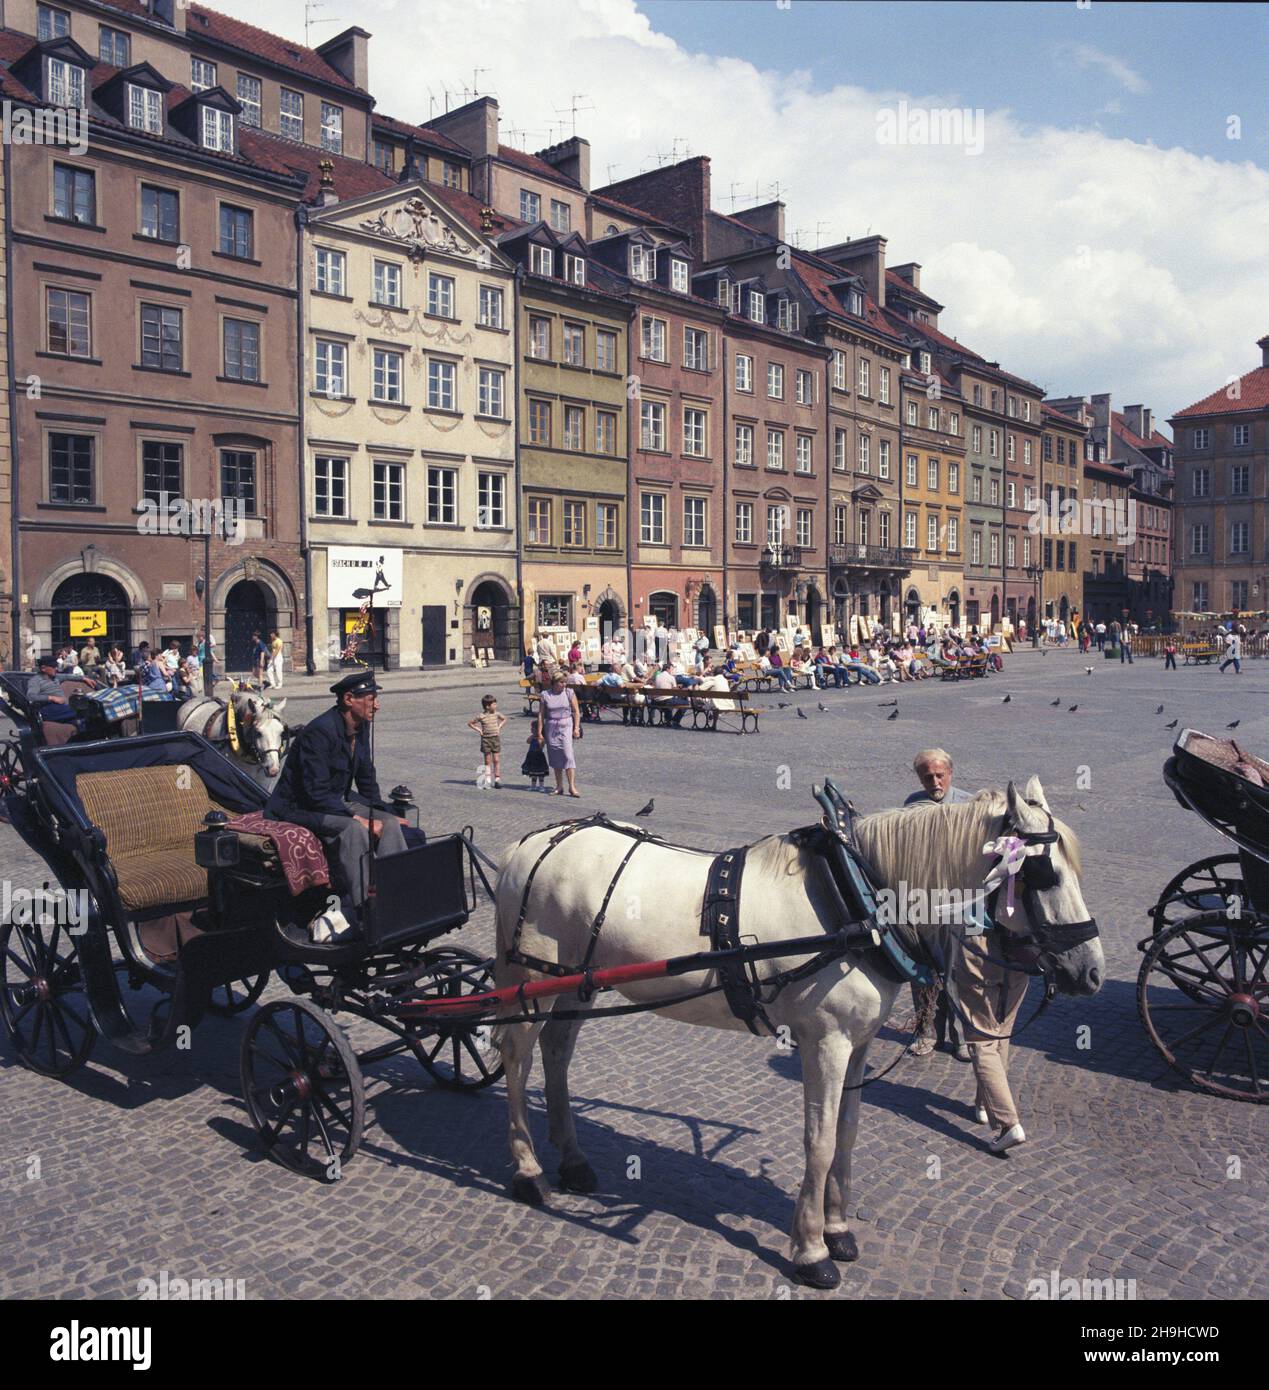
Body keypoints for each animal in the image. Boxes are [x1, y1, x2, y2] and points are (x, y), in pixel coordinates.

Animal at [489, 778, 1106, 1284]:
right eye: (1043, 874)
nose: (1091, 971)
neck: (858, 898)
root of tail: (530, 842)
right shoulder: (825, 1042)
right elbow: (821, 1139)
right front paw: (811, 1249)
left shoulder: (858, 1043)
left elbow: (848, 1134)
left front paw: (838, 1228)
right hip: (529, 982)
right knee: (519, 1057)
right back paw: (527, 1170)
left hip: (575, 983)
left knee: (558, 1053)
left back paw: (572, 1159)